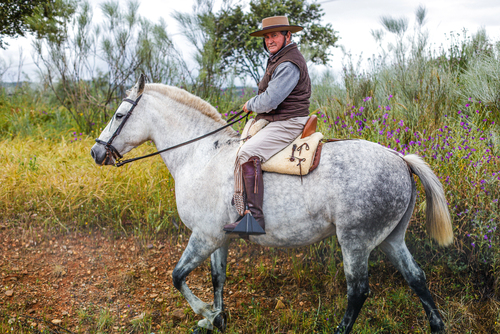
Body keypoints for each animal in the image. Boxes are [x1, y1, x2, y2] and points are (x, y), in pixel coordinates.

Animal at [91, 76, 454, 334]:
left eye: (119, 114)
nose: (96, 152)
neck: (201, 155)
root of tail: (400, 159)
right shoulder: (218, 237)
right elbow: (217, 278)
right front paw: (218, 318)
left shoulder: (204, 236)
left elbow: (177, 276)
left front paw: (205, 314)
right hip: (392, 238)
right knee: (416, 277)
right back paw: (436, 325)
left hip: (355, 240)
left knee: (359, 291)